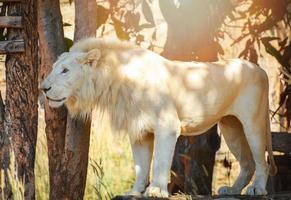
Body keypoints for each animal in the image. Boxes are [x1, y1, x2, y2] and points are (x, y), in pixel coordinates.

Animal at [41, 37, 278, 197]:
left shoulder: (167, 125)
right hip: (231, 127)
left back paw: (257, 189)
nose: (43, 88)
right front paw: (135, 191)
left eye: (65, 70)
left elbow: (160, 161)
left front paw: (156, 190)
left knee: (261, 160)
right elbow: (140, 164)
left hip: (253, 123)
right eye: (54, 68)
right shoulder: (138, 130)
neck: (115, 81)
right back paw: (233, 189)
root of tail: (260, 69)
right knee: (247, 163)